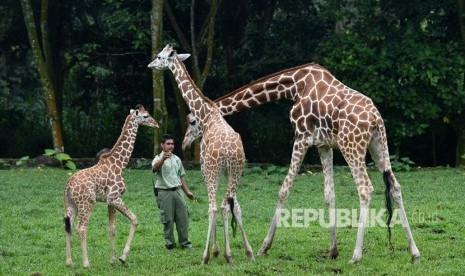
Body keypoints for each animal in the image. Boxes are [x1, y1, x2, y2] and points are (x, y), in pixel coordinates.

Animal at [63, 104, 158, 268]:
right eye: (145, 116)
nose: (156, 124)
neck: (120, 164)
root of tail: (68, 186)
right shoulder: (114, 197)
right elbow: (134, 219)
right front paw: (122, 257)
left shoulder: (110, 201)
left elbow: (112, 228)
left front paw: (112, 260)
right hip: (86, 203)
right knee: (81, 228)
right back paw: (86, 263)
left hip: (71, 205)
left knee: (68, 227)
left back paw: (69, 262)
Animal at [148, 44, 254, 264]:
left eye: (160, 56)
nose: (150, 65)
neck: (207, 114)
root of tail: (230, 152)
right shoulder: (227, 172)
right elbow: (236, 207)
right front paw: (229, 251)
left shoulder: (205, 168)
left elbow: (212, 208)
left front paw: (214, 252)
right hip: (236, 171)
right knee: (231, 206)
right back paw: (248, 252)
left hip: (214, 171)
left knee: (216, 207)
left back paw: (212, 255)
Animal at [180, 62, 416, 264]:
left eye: (192, 121)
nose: (184, 143)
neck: (294, 85)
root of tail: (376, 119)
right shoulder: (324, 144)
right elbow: (329, 194)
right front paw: (333, 250)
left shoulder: (302, 137)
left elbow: (284, 190)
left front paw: (264, 247)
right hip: (379, 146)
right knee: (395, 186)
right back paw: (414, 252)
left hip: (352, 147)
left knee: (365, 189)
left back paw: (356, 256)